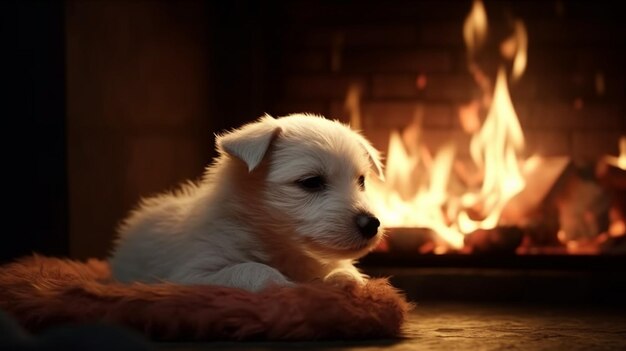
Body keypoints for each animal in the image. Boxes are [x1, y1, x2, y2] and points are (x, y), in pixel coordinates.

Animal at [111, 114, 382, 292]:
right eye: (311, 182)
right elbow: (251, 269)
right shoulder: (192, 273)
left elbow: (343, 271)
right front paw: (284, 285)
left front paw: (346, 279)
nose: (372, 224)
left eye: (361, 181)